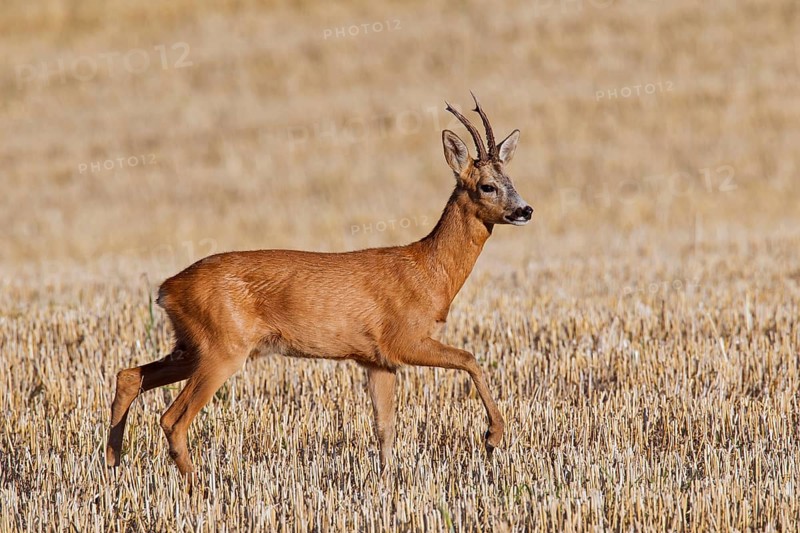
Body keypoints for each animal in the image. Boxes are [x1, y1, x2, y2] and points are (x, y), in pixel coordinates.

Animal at [105, 94, 533, 476]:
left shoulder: (377, 359)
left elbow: (385, 428)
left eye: (511, 179)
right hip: (220, 348)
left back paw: (113, 466)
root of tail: (166, 289)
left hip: (193, 345)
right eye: (487, 186)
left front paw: (388, 483)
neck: (427, 271)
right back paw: (197, 488)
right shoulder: (403, 339)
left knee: (130, 376)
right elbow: (470, 358)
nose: (525, 210)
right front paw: (493, 436)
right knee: (172, 418)